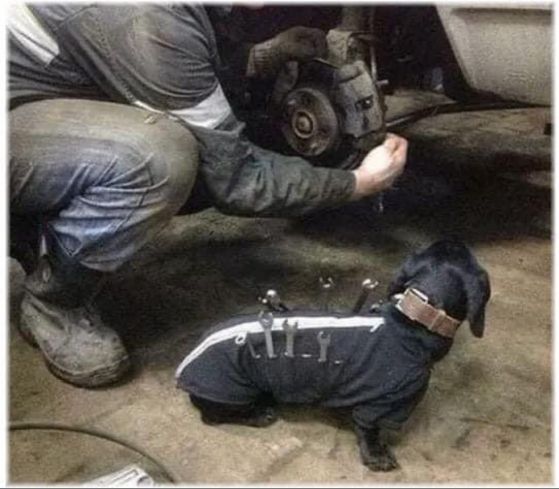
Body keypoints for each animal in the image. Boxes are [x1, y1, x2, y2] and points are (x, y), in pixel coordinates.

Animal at [176, 239, 491, 471]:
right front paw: (377, 457)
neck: (415, 317)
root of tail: (183, 370)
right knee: (213, 417)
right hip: (233, 391)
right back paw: (258, 414)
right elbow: (369, 428)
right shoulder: (385, 402)